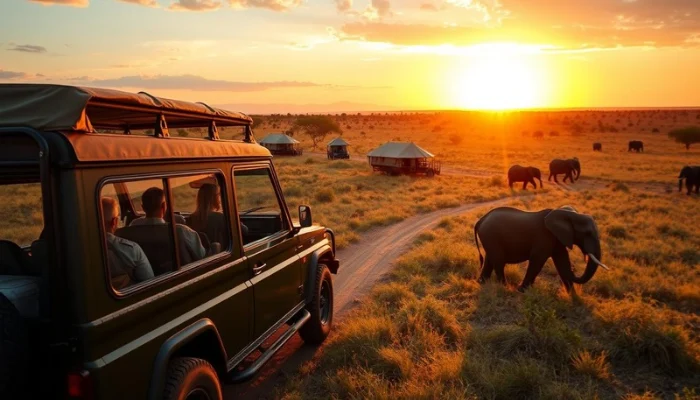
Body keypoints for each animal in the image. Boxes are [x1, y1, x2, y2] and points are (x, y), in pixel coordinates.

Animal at [474, 205, 608, 292]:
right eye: (587, 233)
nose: (575, 269)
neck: (567, 213)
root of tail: (481, 220)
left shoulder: (557, 238)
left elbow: (562, 261)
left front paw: (572, 295)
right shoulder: (545, 237)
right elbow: (537, 261)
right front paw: (521, 290)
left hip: (489, 238)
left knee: (489, 259)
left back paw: (482, 283)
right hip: (491, 236)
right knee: (498, 261)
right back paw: (505, 287)